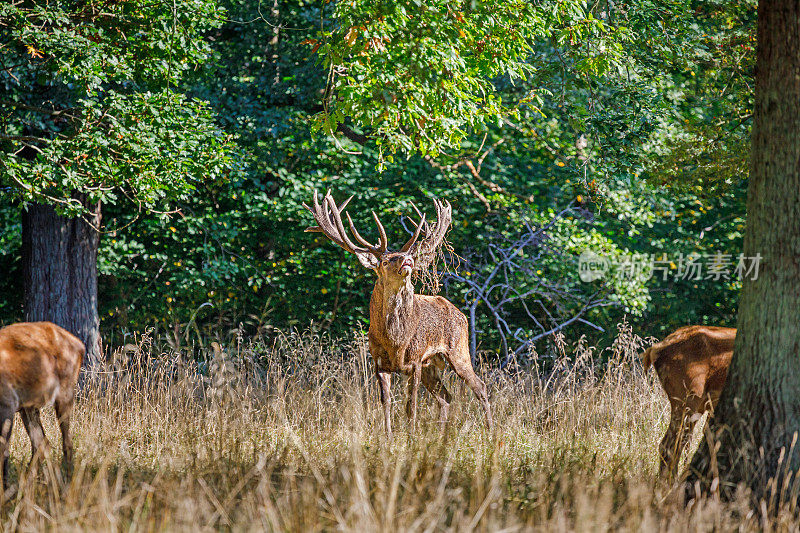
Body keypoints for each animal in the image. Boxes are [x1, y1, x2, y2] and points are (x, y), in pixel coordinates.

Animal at [0, 320, 84, 490]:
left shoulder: (8, 403)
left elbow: (4, 451)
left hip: (65, 393)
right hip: (28, 406)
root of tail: (81, 345)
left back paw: (67, 483)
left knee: (66, 442)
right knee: (42, 443)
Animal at [306, 191, 494, 436]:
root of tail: (459, 313)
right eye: (385, 261)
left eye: (405, 256)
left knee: (479, 386)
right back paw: (442, 435)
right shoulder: (378, 362)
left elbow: (410, 405)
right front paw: (388, 436)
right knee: (445, 396)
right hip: (431, 364)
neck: (395, 340)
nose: (408, 259)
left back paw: (491, 432)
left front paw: (411, 437)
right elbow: (385, 402)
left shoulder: (415, 360)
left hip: (457, 350)